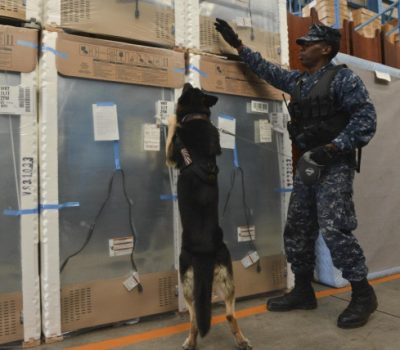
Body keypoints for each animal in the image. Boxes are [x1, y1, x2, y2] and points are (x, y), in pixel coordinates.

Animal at [165, 83, 250, 348]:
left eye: (191, 89)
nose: (187, 82)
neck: (196, 116)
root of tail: (204, 254)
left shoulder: (171, 154)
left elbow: (172, 133)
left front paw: (170, 118)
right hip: (227, 277)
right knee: (230, 313)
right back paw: (242, 340)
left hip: (186, 278)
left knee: (194, 318)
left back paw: (190, 341)